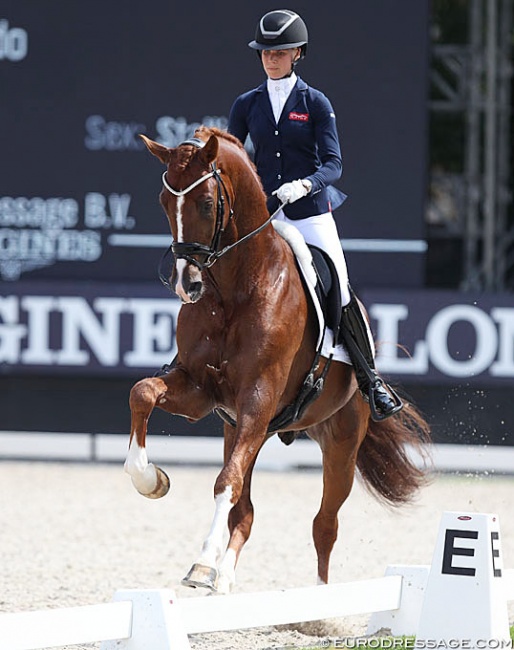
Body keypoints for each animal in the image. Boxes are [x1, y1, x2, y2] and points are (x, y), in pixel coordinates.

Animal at [124, 125, 428, 592]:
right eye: (163, 202)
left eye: (207, 202)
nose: (186, 285)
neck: (234, 290)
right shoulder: (201, 391)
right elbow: (142, 393)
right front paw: (150, 480)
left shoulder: (258, 397)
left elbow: (225, 482)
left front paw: (202, 563)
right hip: (247, 430)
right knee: (246, 512)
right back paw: (226, 578)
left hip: (339, 440)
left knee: (325, 524)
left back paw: (315, 600)